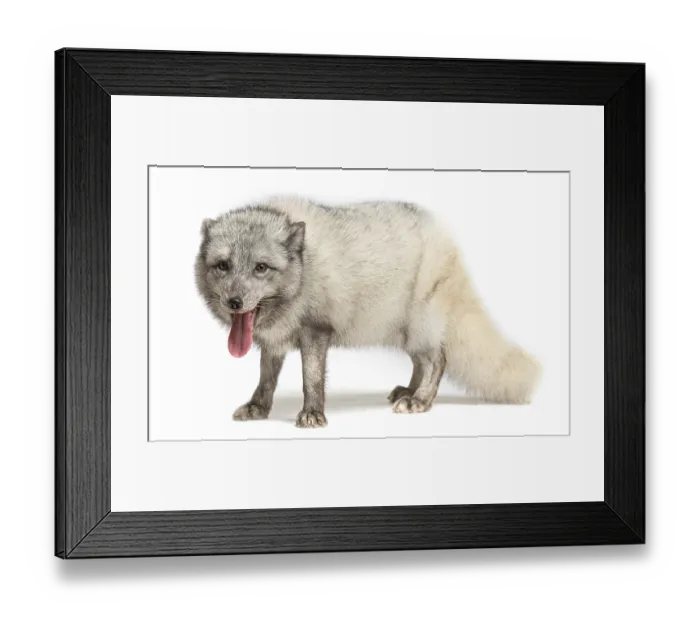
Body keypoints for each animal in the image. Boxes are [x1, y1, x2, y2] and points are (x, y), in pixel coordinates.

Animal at [195, 196, 541, 429]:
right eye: (223, 266)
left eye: (261, 268)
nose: (234, 302)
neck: (305, 269)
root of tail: (448, 242)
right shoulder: (274, 339)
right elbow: (266, 378)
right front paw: (258, 408)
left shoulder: (316, 330)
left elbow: (312, 379)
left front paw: (312, 414)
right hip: (403, 330)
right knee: (421, 361)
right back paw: (408, 390)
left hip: (419, 326)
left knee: (438, 360)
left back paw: (420, 400)